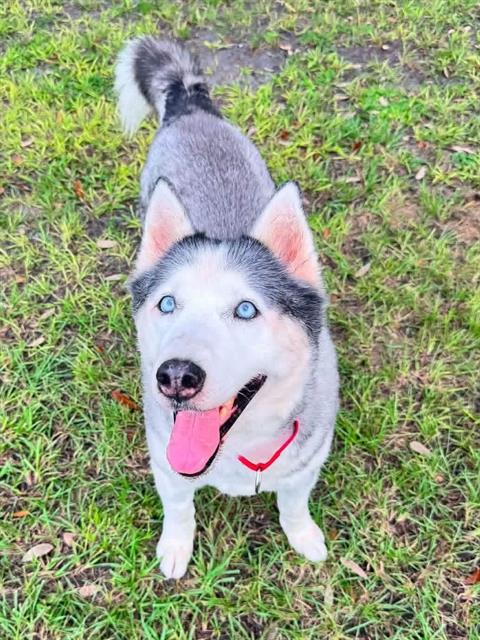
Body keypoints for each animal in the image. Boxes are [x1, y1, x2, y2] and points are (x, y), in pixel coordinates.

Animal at [114, 37, 339, 579]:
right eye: (167, 303)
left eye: (245, 310)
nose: (176, 376)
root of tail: (191, 105)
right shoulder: (166, 461)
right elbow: (179, 508)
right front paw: (176, 548)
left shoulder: (306, 463)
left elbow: (293, 504)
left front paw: (304, 536)